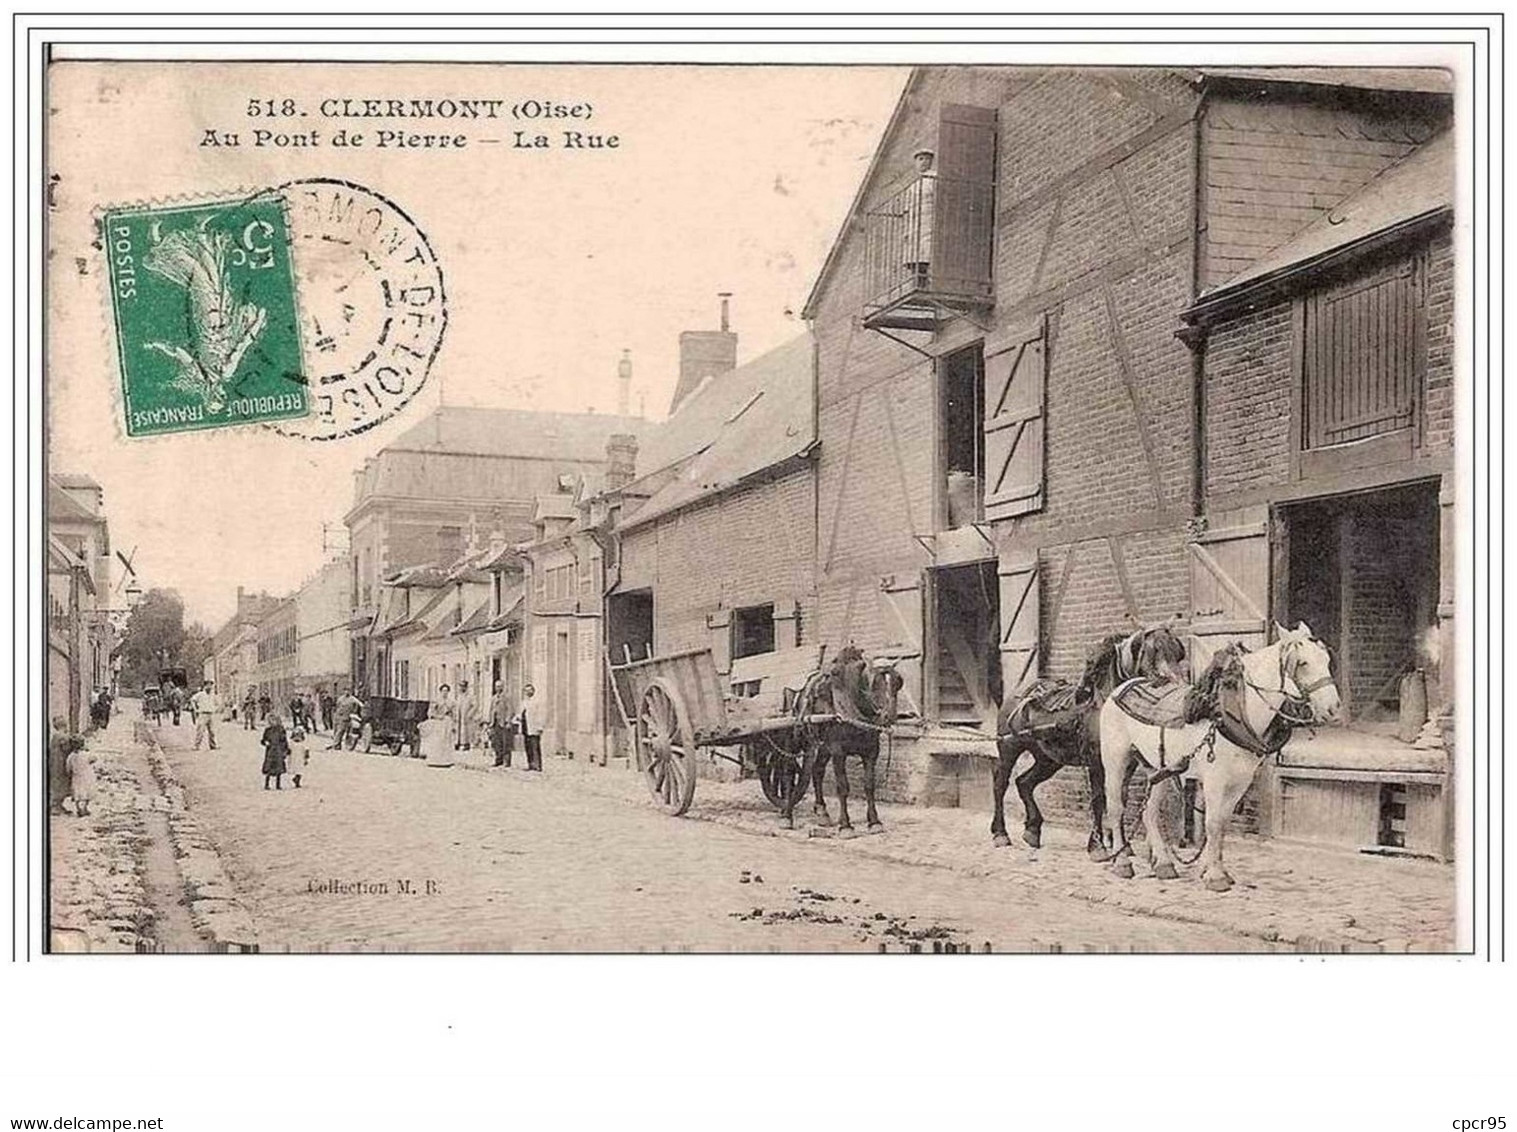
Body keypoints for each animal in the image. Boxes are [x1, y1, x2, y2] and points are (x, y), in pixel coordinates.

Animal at [782, 649, 898, 831]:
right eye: (874, 682)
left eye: (898, 682)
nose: (889, 716)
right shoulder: (838, 751)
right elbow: (843, 787)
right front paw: (845, 825)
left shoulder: (871, 751)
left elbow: (869, 786)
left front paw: (874, 821)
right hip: (794, 740)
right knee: (788, 772)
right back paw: (787, 815)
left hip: (822, 746)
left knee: (817, 770)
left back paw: (822, 812)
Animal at [989, 622, 1189, 849]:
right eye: (1155, 650)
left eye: (1178, 652)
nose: (1178, 685)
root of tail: (1017, 693)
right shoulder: (1096, 760)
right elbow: (1098, 799)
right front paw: (1097, 845)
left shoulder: (1127, 764)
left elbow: (1120, 799)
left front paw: (1122, 845)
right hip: (1009, 749)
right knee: (1000, 784)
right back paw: (1000, 833)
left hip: (1048, 759)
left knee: (1024, 782)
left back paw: (1032, 830)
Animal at [1104, 622, 1341, 886]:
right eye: (1302, 663)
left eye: (1326, 660)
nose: (1333, 709)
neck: (1233, 712)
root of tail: (1122, 687)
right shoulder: (1214, 779)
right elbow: (1213, 823)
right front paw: (1215, 877)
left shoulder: (1240, 781)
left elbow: (1223, 824)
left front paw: (1214, 869)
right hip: (1116, 761)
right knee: (1116, 808)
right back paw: (1122, 863)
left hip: (1157, 769)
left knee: (1150, 812)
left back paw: (1164, 864)